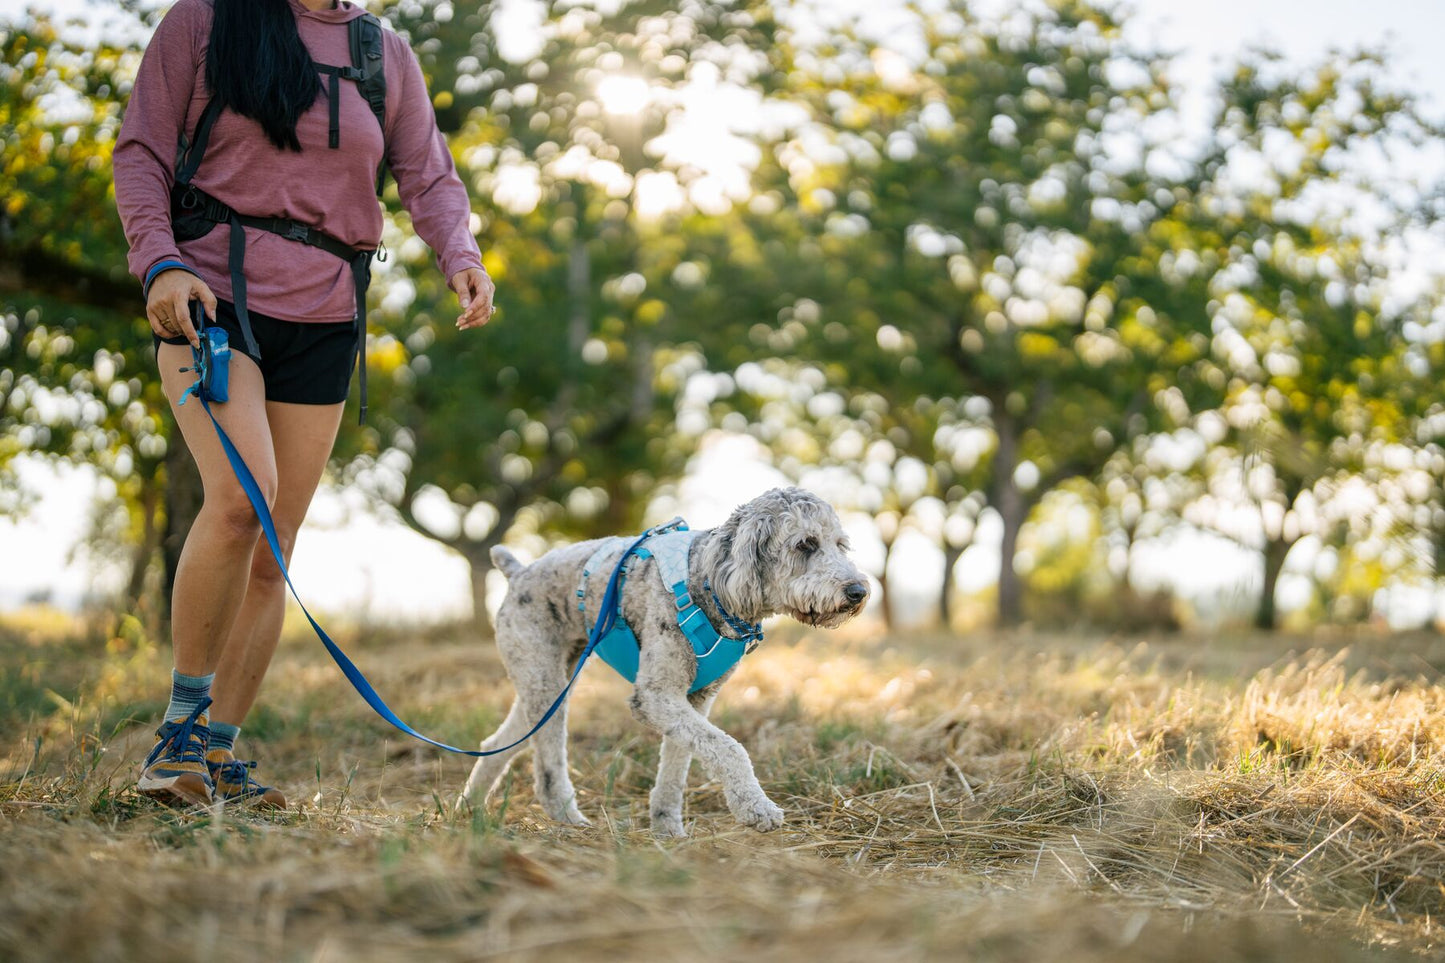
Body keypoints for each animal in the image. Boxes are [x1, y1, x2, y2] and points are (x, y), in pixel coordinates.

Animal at [459, 488, 867, 832]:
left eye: (840, 544)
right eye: (805, 544)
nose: (859, 591)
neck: (709, 582)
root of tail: (518, 572)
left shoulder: (694, 700)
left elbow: (678, 764)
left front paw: (667, 828)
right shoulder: (655, 696)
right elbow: (729, 749)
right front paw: (756, 808)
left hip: (548, 684)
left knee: (498, 744)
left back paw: (468, 809)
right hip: (546, 684)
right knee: (547, 765)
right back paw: (568, 821)